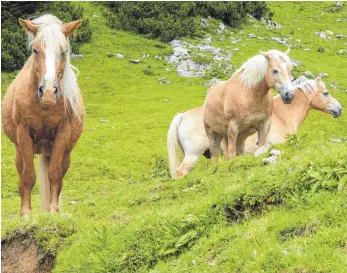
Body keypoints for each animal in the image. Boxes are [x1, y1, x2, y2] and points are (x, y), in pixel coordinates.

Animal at [1, 14, 85, 216]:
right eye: (35, 50)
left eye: (64, 51)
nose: (48, 92)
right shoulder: (23, 133)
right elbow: (28, 176)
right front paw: (26, 213)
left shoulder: (63, 133)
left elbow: (54, 174)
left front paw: (53, 211)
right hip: (19, 152)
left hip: (65, 154)